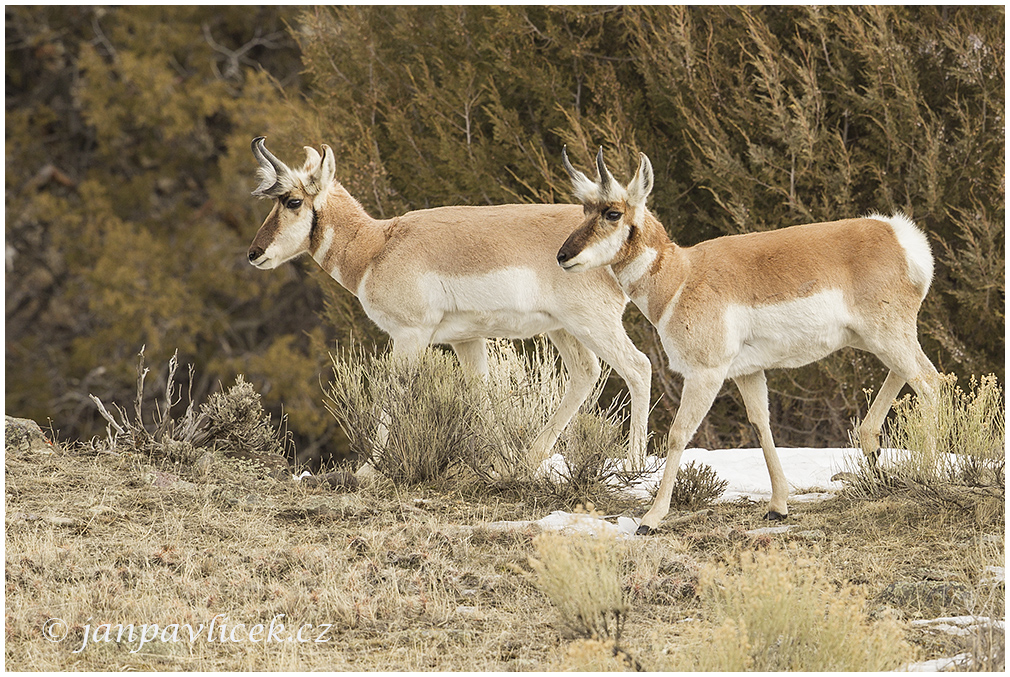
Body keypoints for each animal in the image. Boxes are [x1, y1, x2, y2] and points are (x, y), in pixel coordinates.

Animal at [248, 137, 650, 474]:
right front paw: (499, 463)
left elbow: (393, 394)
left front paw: (368, 471)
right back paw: (528, 458)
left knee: (638, 367)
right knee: (585, 372)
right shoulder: (466, 340)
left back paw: (634, 466)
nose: (254, 253)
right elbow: (481, 396)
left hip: (592, 324)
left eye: (293, 201)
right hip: (562, 329)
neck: (378, 245)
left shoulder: (410, 335)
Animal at [561, 147, 937, 537]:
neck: (682, 275)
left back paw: (927, 472)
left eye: (612, 213)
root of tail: (897, 233)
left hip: (888, 335)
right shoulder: (747, 372)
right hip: (876, 339)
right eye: (584, 210)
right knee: (904, 374)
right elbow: (761, 423)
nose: (562, 256)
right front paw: (778, 506)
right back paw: (872, 449)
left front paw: (650, 519)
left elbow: (678, 434)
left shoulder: (706, 373)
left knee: (929, 381)